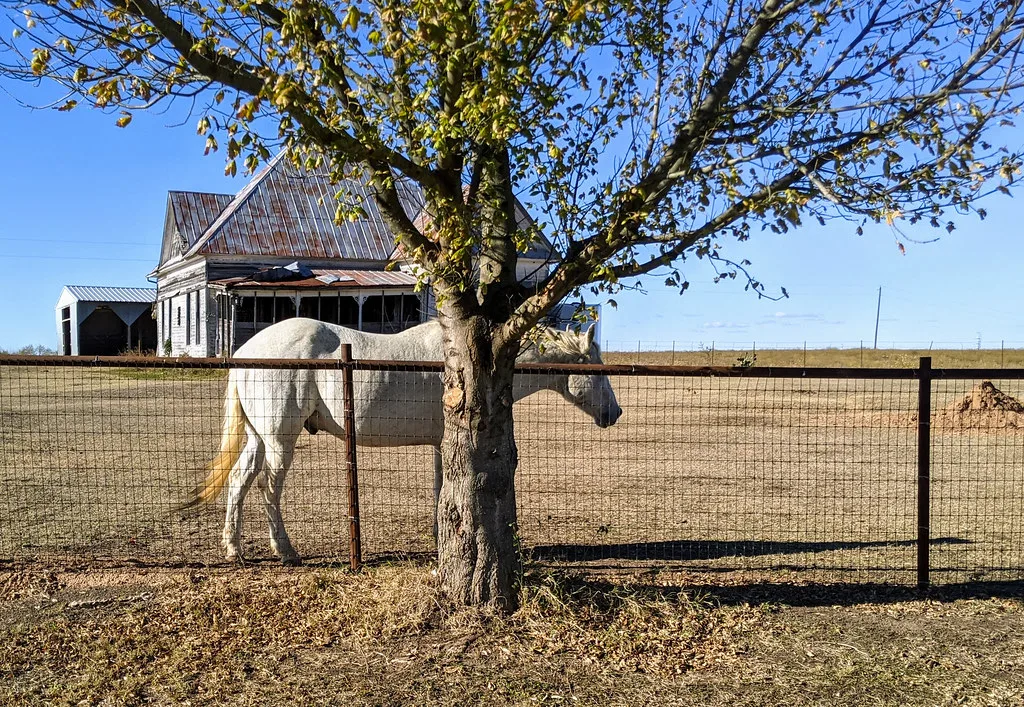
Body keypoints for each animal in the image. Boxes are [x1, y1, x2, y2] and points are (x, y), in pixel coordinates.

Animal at [178, 317, 622, 564]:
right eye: (597, 368)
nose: (614, 413)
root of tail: (245, 352)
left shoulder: (441, 444)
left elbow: (442, 488)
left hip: (259, 439)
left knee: (239, 482)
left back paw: (234, 549)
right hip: (279, 441)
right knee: (269, 489)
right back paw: (285, 551)